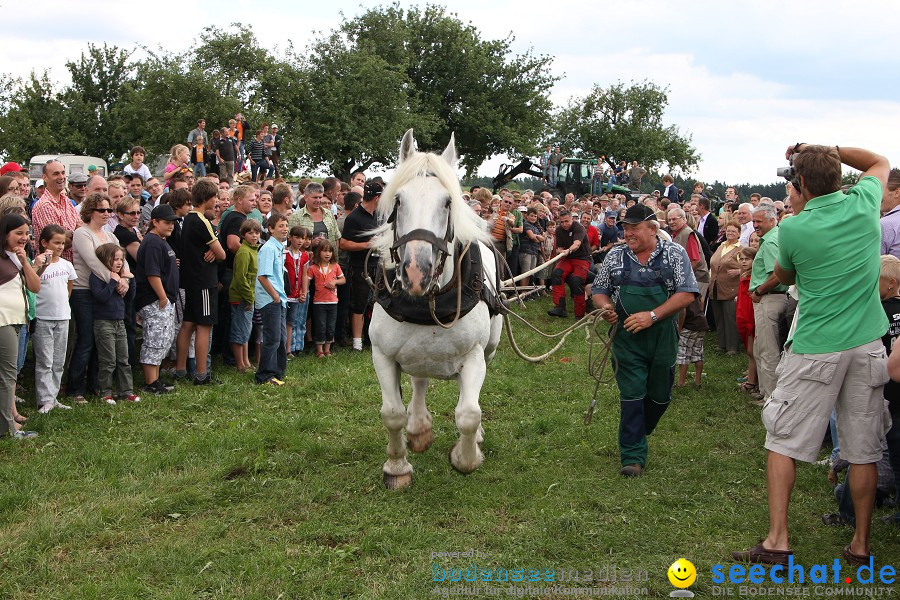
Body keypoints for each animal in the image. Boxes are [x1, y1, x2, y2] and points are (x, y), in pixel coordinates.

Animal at [368, 130, 506, 488]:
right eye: (398, 201)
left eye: (448, 202)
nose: (416, 272)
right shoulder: (381, 354)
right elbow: (392, 414)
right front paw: (397, 467)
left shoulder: (474, 356)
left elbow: (469, 413)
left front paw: (466, 457)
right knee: (419, 380)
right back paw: (418, 428)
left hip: (489, 349)